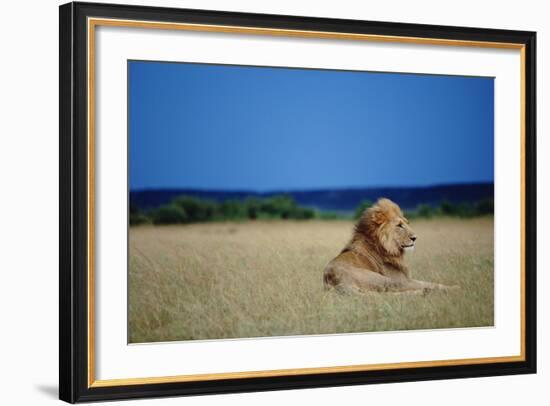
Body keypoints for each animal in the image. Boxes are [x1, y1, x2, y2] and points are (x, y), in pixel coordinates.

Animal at [324, 198, 458, 294]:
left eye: (407, 223)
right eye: (399, 225)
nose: (415, 238)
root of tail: (332, 279)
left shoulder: (406, 279)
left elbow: (428, 282)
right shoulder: (401, 280)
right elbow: (429, 283)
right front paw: (456, 287)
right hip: (385, 280)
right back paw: (426, 292)